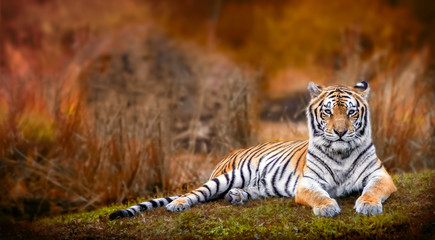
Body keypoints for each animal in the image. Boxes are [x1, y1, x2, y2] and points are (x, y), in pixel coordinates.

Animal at [110, 81, 398, 219]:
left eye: (350, 112)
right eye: (328, 112)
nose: (339, 132)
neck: (341, 153)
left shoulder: (380, 175)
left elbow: (373, 189)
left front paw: (368, 206)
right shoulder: (308, 182)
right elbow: (318, 195)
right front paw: (327, 207)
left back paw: (236, 196)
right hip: (227, 176)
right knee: (197, 193)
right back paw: (178, 204)